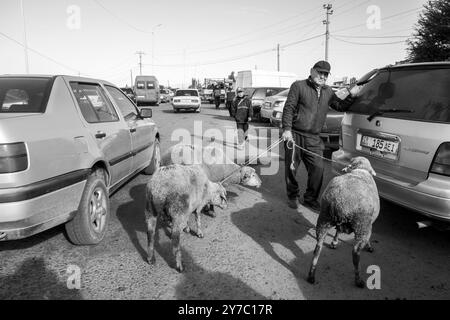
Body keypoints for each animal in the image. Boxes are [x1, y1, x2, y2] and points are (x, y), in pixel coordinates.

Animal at [306, 157, 380, 288]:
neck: (360, 170)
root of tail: (341, 204)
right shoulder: (369, 224)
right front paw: (369, 246)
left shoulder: (339, 225)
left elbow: (338, 231)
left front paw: (334, 242)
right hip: (362, 227)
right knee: (355, 254)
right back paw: (359, 280)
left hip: (324, 219)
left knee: (317, 248)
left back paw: (311, 275)